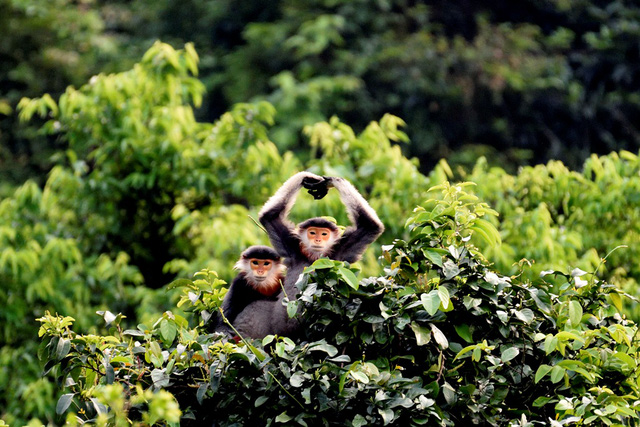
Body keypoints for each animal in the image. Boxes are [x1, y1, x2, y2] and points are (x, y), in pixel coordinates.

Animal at [231, 172, 384, 340]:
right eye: (312, 232)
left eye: (324, 234)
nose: (317, 240)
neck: (315, 258)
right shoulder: (293, 247)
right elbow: (270, 216)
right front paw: (310, 178)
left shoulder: (341, 250)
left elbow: (370, 226)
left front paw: (331, 180)